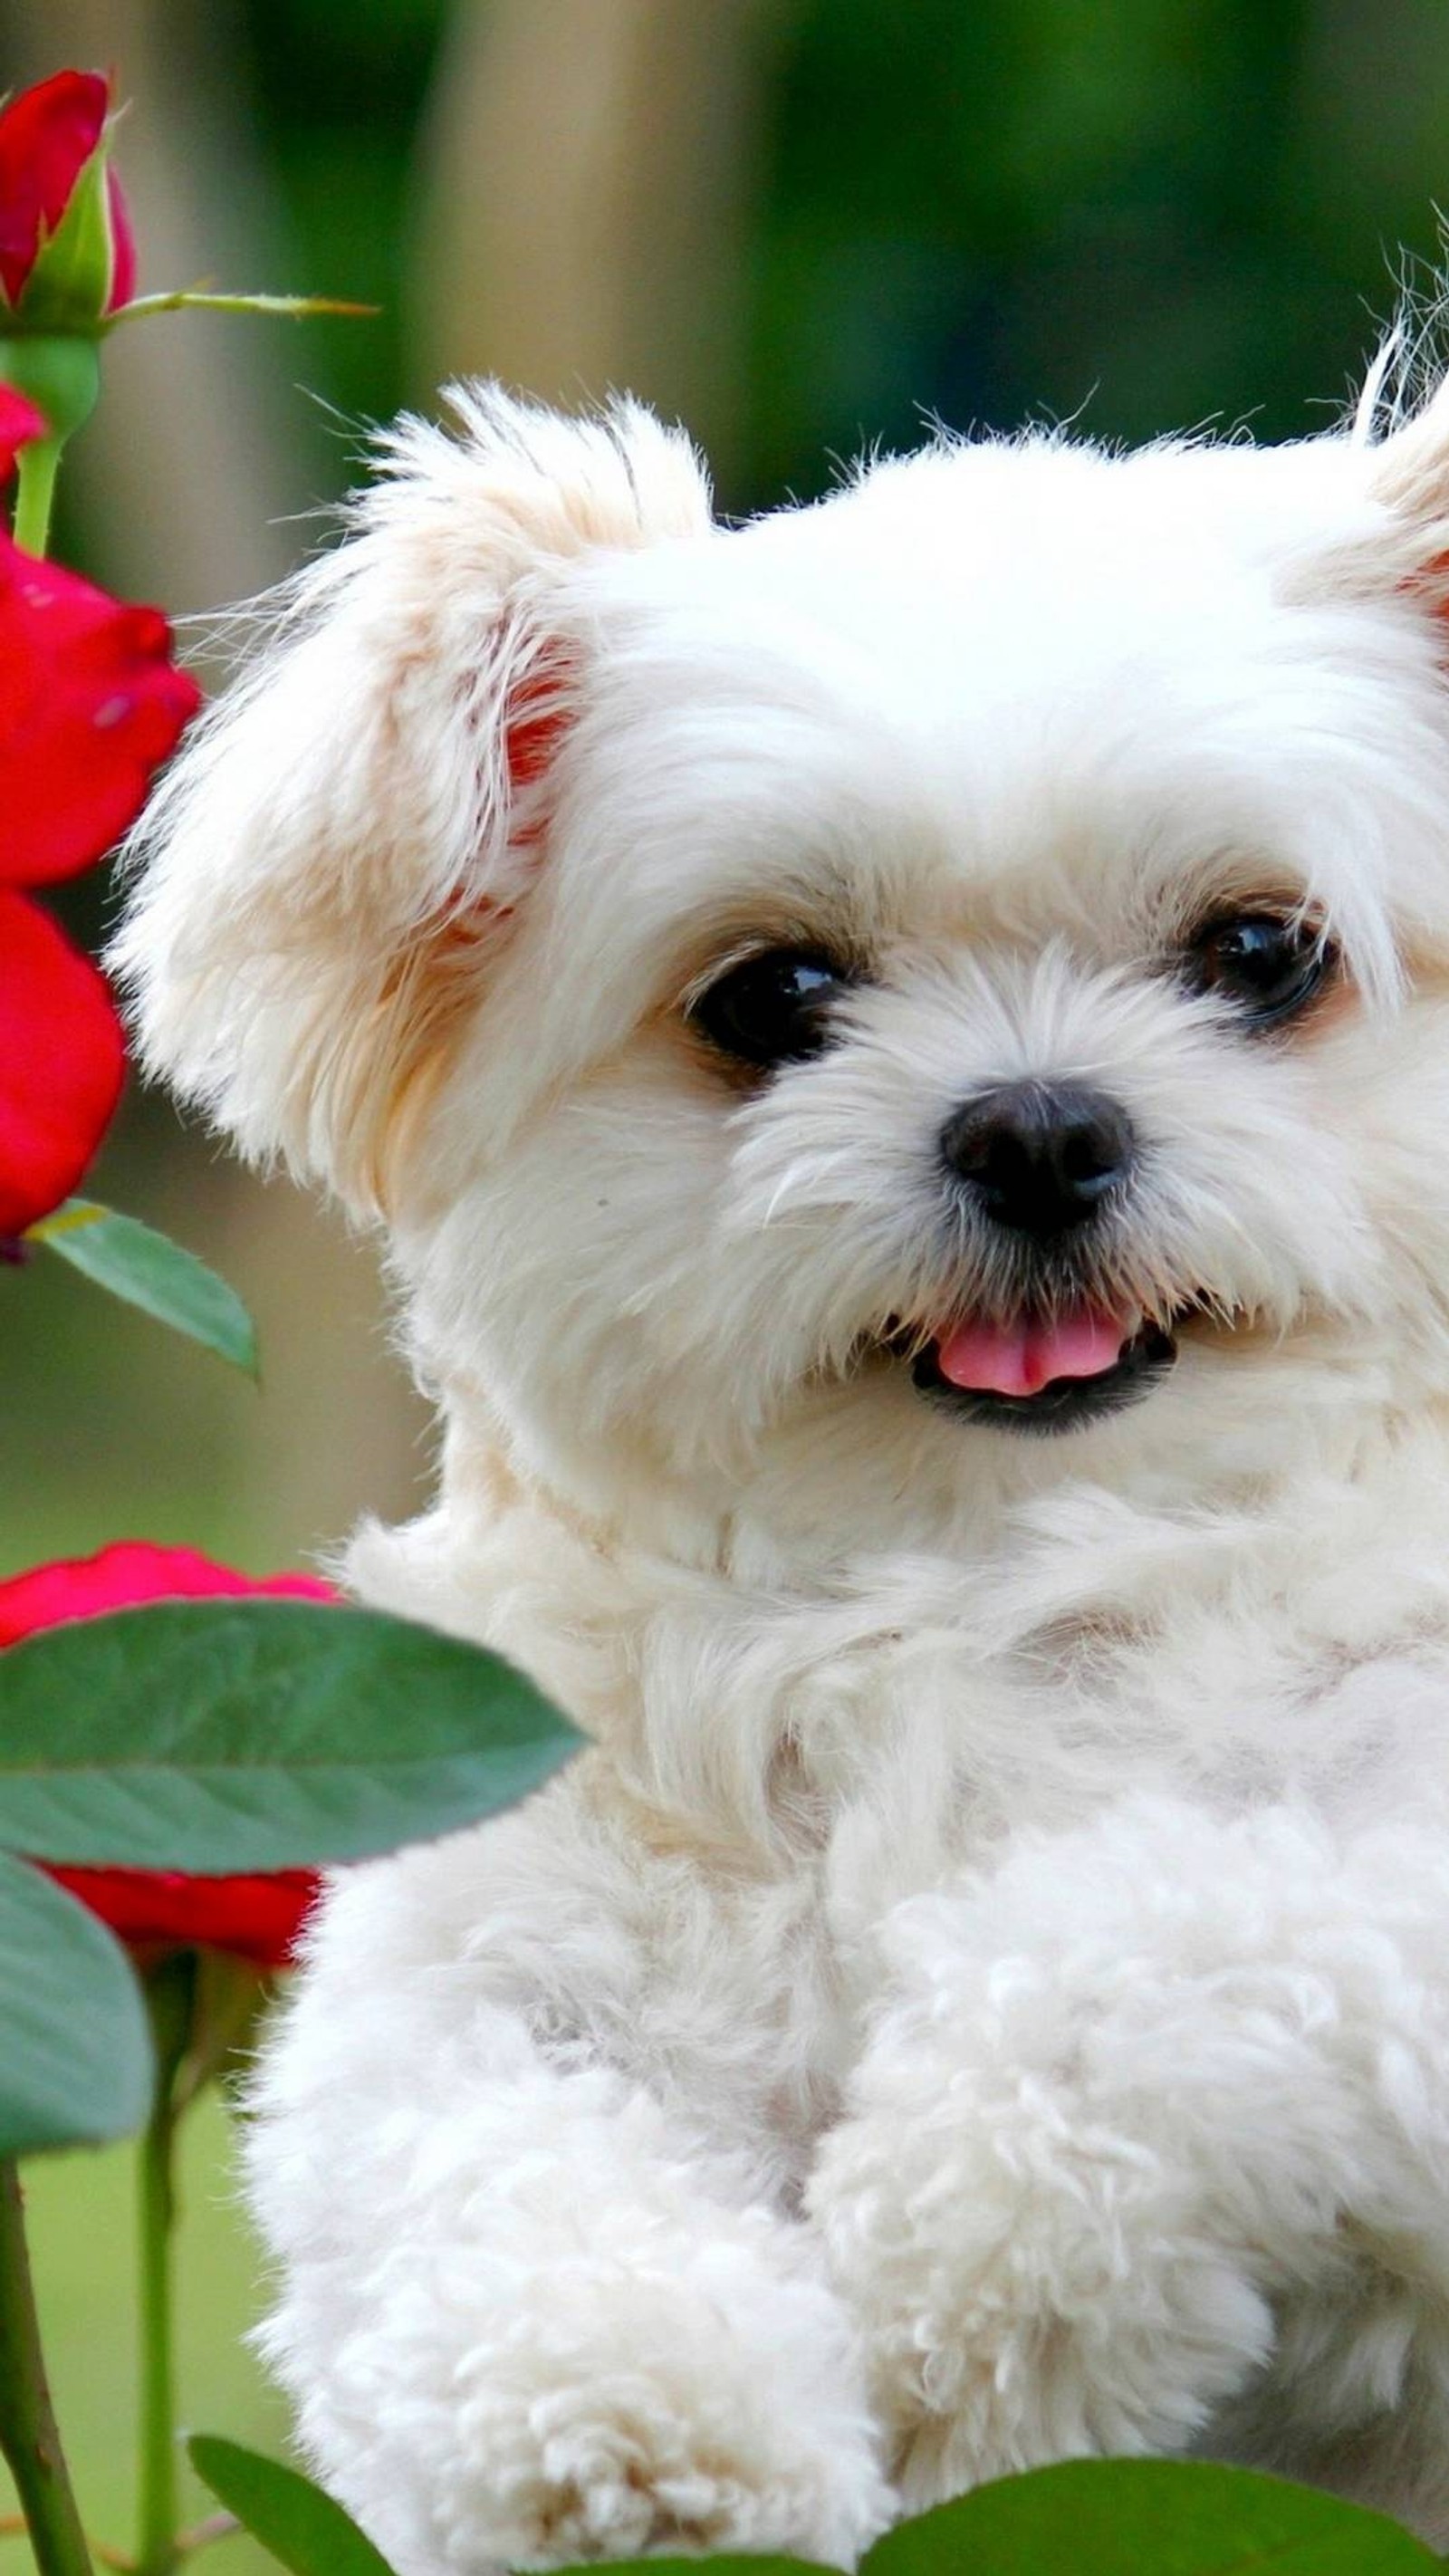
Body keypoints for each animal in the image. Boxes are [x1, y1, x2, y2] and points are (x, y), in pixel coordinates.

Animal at [116, 352, 1449, 2565]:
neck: (984, 1597)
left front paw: (949, 2286)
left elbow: (1151, 1943)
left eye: (1263, 952)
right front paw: (640, 2426)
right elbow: (481, 2176)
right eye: (771, 996)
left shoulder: (1363, 1897)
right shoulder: (486, 1945)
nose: (1034, 1125)